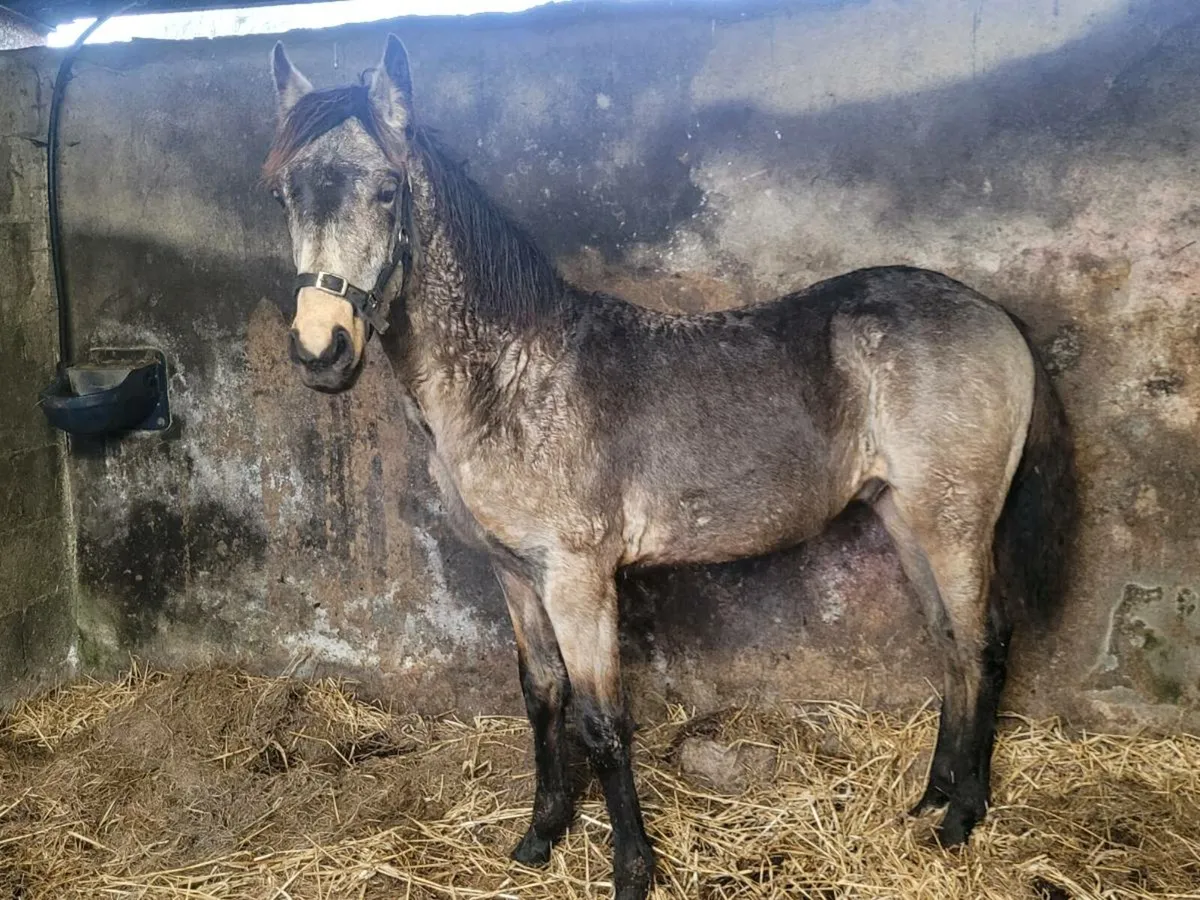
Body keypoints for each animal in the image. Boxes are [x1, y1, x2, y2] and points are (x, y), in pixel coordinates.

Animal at [261, 35, 1076, 900]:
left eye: (387, 190)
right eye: (285, 193)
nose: (321, 350)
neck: (513, 378)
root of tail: (994, 315)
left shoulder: (578, 578)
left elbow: (603, 721)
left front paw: (632, 869)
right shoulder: (515, 573)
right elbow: (542, 696)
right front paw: (539, 836)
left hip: (954, 522)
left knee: (984, 639)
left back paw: (964, 816)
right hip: (901, 516)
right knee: (949, 641)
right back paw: (930, 798)